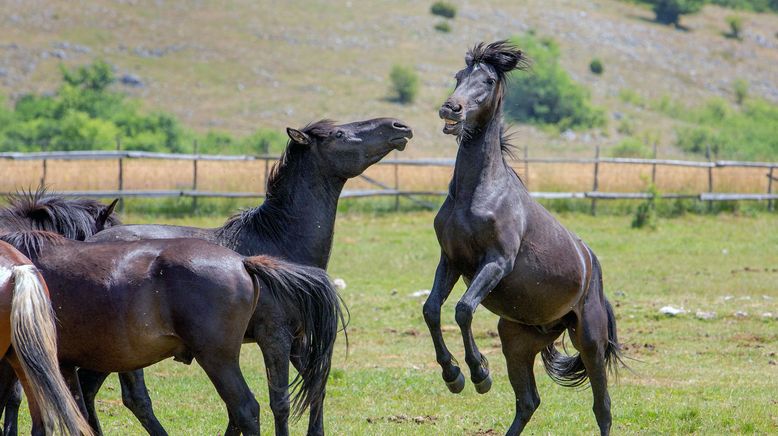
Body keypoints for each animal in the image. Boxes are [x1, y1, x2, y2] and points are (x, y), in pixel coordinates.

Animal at [82, 118, 412, 436]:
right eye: (339, 134)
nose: (399, 126)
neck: (278, 241)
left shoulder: (296, 339)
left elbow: (313, 386)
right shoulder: (274, 336)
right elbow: (279, 402)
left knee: (89, 390)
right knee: (127, 397)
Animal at [422, 41, 620, 436]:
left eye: (486, 80)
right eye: (458, 76)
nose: (451, 108)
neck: (477, 194)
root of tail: (591, 262)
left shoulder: (496, 262)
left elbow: (463, 309)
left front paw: (479, 373)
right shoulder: (451, 260)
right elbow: (432, 309)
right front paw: (453, 376)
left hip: (590, 340)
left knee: (602, 407)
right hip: (517, 341)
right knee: (528, 401)